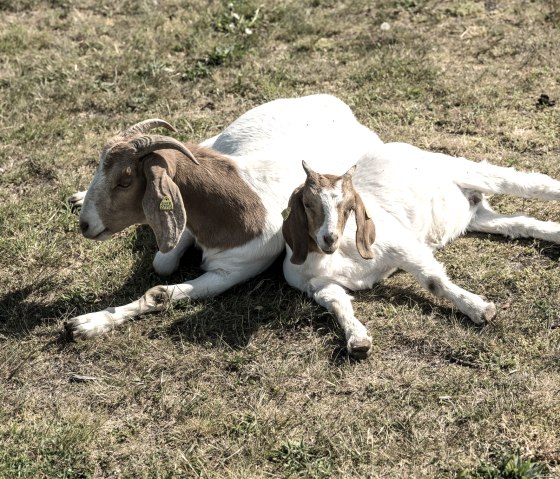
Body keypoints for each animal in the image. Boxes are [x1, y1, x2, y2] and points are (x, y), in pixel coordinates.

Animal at [63, 94, 382, 340]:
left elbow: (159, 291)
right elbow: (162, 264)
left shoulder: (231, 271)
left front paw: (86, 324)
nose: (86, 225)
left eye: (125, 181)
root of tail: (336, 104)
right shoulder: (187, 224)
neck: (241, 205)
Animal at [284, 146, 560, 360]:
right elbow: (338, 304)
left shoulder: (400, 245)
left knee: (532, 184)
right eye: (307, 204)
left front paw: (479, 309)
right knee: (519, 224)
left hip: (468, 171)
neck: (333, 256)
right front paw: (358, 340)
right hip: (477, 217)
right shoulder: (317, 285)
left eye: (349, 206)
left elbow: (433, 280)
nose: (329, 238)